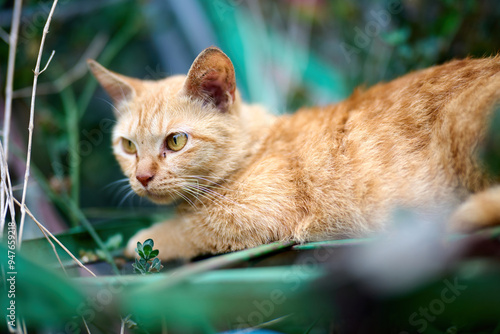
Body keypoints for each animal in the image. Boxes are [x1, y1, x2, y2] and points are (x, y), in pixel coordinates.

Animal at [88, 47, 500, 260]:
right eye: (128, 146)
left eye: (175, 141)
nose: (142, 177)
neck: (256, 148)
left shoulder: (256, 215)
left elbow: (184, 229)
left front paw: (142, 239)